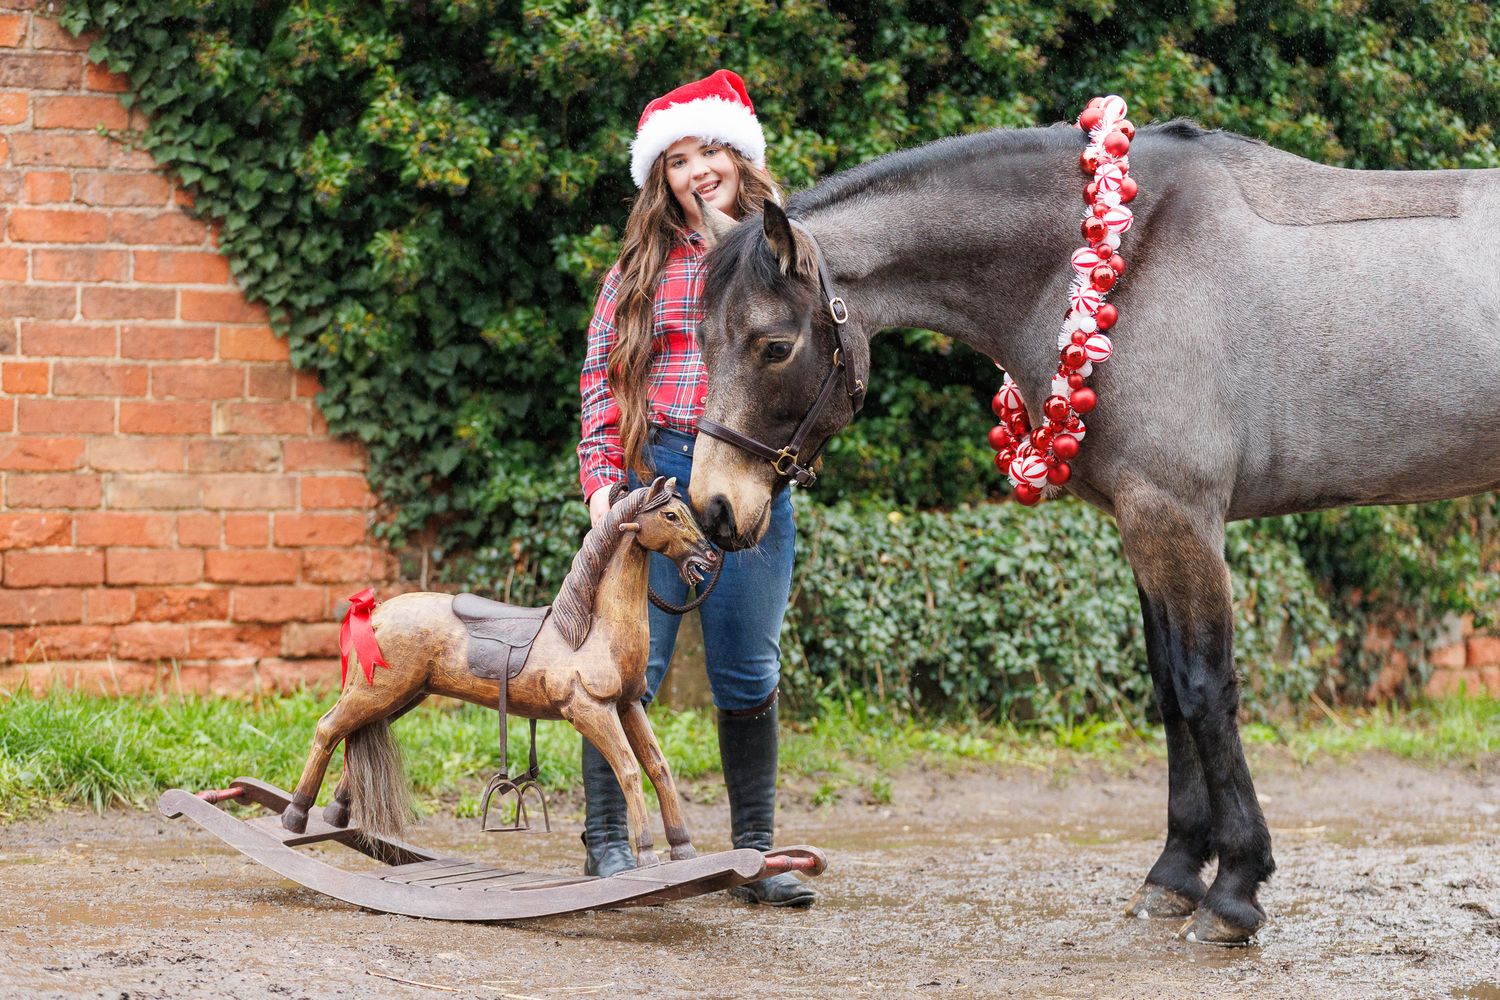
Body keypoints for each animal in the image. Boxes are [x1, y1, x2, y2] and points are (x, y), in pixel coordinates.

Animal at [280, 476, 719, 873]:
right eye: (670, 515)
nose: (711, 557)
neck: (589, 633)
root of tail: (376, 611)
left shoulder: (628, 705)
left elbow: (659, 767)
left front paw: (682, 847)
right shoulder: (590, 710)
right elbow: (628, 770)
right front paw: (646, 853)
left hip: (401, 695)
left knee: (354, 732)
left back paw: (336, 812)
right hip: (380, 691)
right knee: (328, 728)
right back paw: (296, 814)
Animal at [684, 119, 1500, 944]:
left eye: (774, 345)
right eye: (701, 338)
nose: (713, 507)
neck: (1133, 255)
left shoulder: (1177, 517)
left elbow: (1206, 689)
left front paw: (1235, 890)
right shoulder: (1142, 524)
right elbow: (1169, 690)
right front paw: (1174, 874)